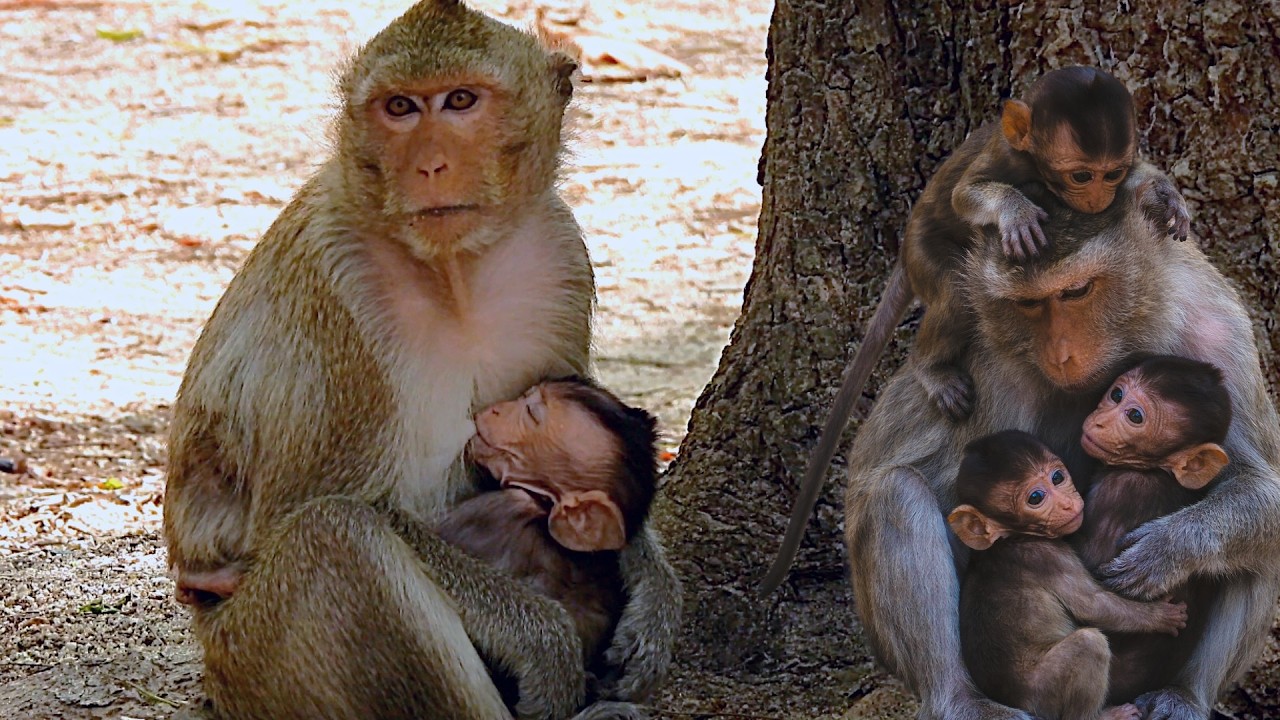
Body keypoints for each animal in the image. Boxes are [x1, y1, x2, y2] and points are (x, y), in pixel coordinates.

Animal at [760, 66, 1195, 595]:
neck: (1036, 169)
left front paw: (1164, 193)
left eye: (1110, 173)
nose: (1098, 198)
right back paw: (930, 366)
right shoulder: (1005, 158)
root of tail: (904, 253)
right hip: (925, 254)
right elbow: (964, 194)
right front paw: (1015, 210)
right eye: (1081, 175)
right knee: (953, 291)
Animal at [948, 430, 1187, 720]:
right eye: (1036, 497)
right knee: (1089, 642)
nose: (1066, 504)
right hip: (1044, 693)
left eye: (1057, 478)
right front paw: (1162, 616)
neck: (1011, 537)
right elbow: (1093, 605)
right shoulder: (1047, 556)